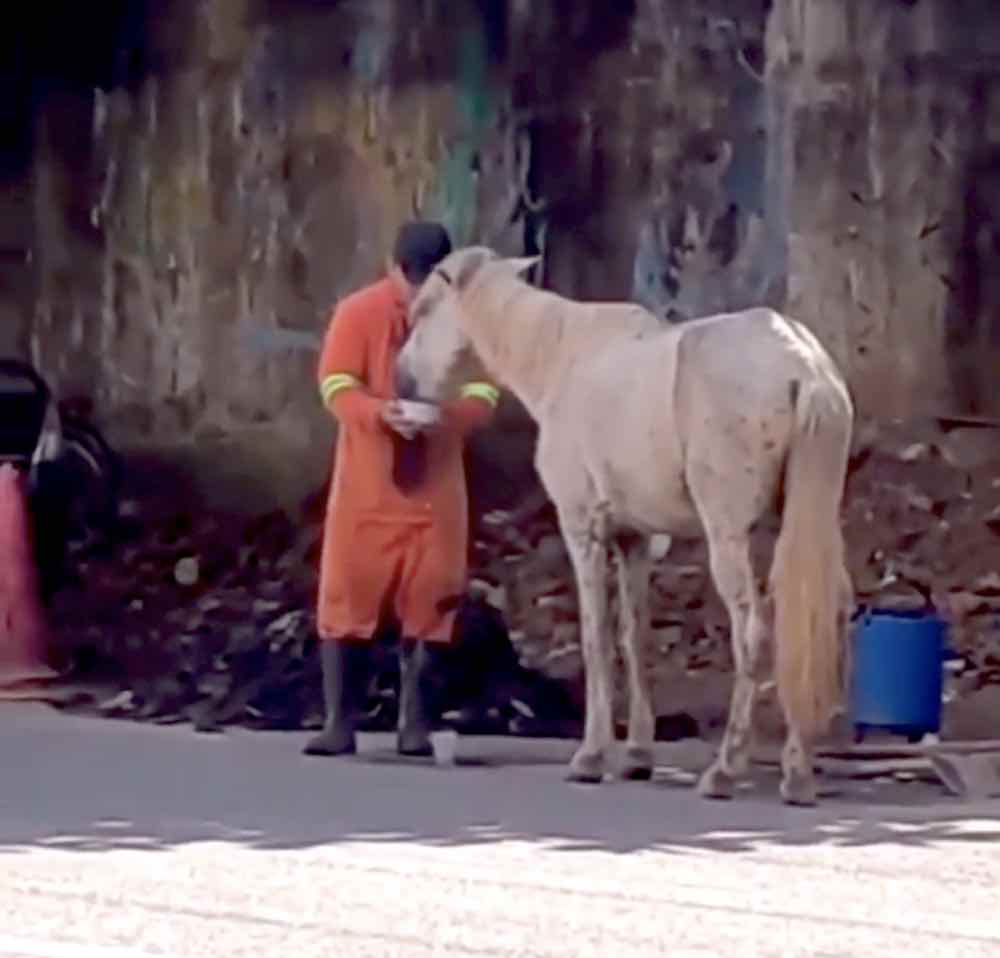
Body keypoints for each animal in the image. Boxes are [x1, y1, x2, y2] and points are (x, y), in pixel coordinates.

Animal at [394, 249, 856, 808]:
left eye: (423, 309)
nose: (401, 381)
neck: (562, 358)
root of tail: (803, 366)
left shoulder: (583, 531)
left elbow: (597, 638)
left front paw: (591, 757)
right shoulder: (633, 539)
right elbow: (635, 639)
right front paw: (637, 754)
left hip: (730, 534)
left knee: (753, 631)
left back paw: (725, 771)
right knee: (823, 615)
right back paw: (798, 770)